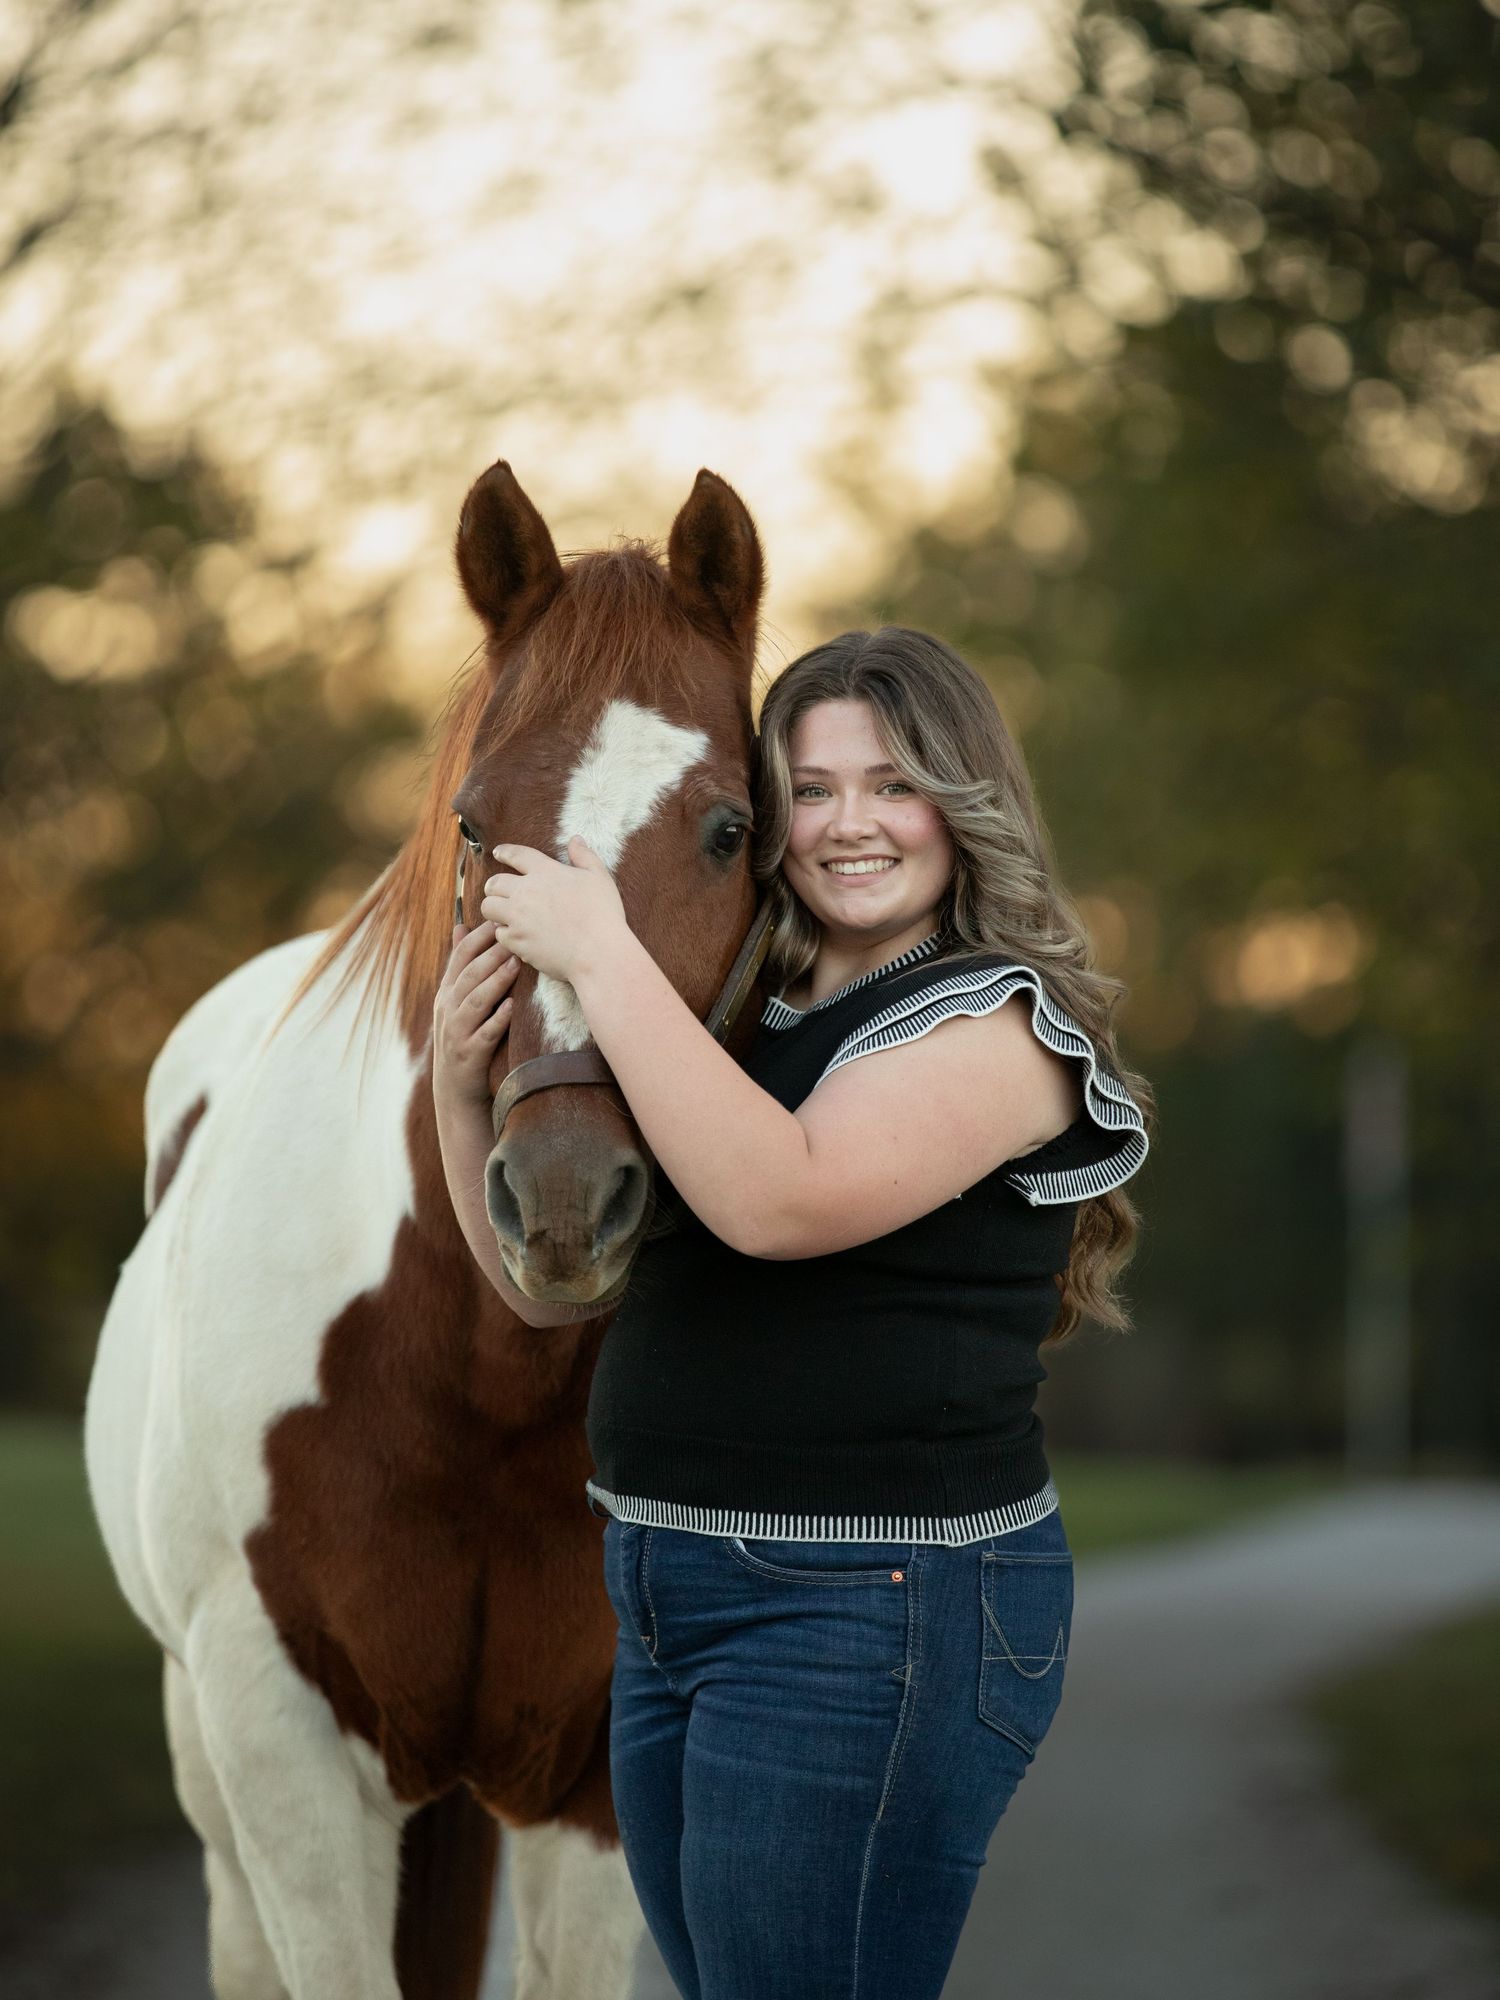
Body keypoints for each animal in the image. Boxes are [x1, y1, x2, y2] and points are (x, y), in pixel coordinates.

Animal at [83, 460, 769, 2000]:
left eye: (729, 830)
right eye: (472, 826)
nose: (564, 1196)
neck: (468, 1368)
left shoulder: (593, 1772)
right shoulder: (276, 1740)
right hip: (217, 1785)